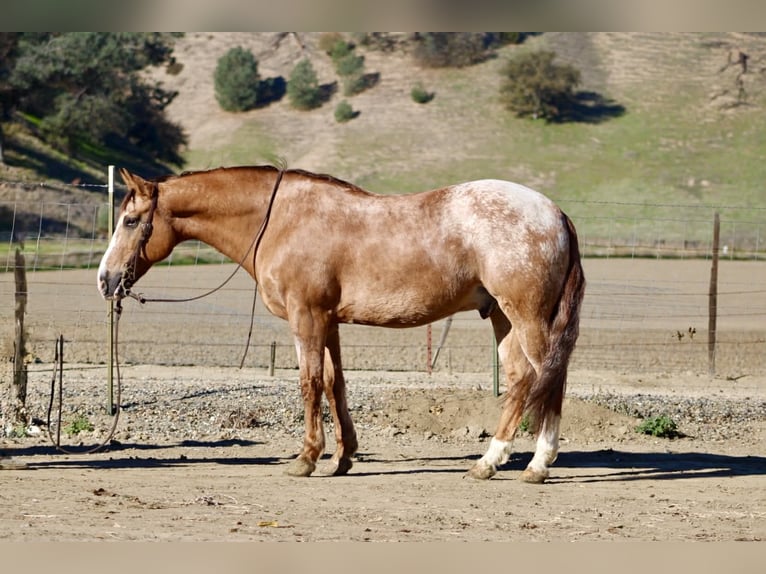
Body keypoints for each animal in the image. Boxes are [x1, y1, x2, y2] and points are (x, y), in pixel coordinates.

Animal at [97, 165, 585, 483]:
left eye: (131, 220)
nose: (105, 279)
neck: (279, 219)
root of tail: (555, 212)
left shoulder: (307, 317)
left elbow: (309, 383)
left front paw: (307, 457)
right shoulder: (328, 322)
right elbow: (335, 384)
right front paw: (342, 457)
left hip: (527, 316)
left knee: (549, 379)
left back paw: (536, 464)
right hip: (502, 316)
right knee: (522, 380)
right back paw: (490, 461)